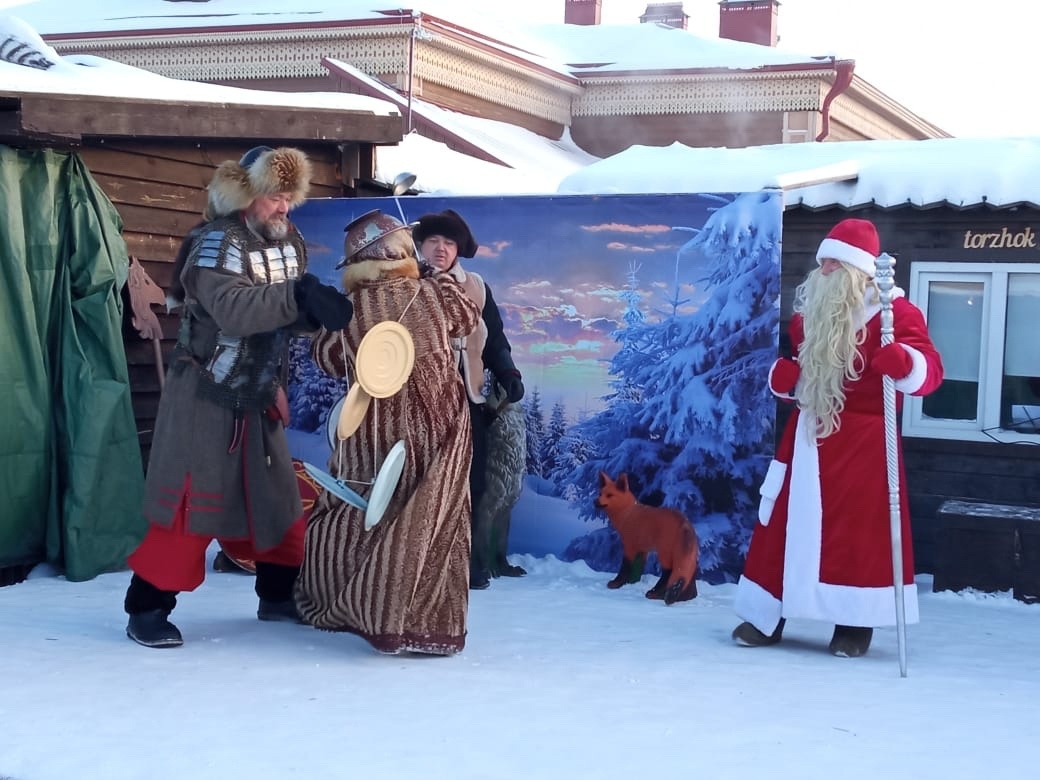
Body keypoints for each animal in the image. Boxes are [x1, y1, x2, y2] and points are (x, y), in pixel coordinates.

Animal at [594, 470, 698, 603]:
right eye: (600, 493)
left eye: (610, 495)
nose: (595, 501)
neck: (627, 514)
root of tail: (685, 522)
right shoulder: (642, 549)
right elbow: (636, 571)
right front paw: (629, 584)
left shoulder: (630, 546)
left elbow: (625, 567)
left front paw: (616, 583)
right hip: (686, 557)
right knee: (690, 580)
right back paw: (684, 598)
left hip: (664, 553)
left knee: (668, 573)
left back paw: (655, 594)